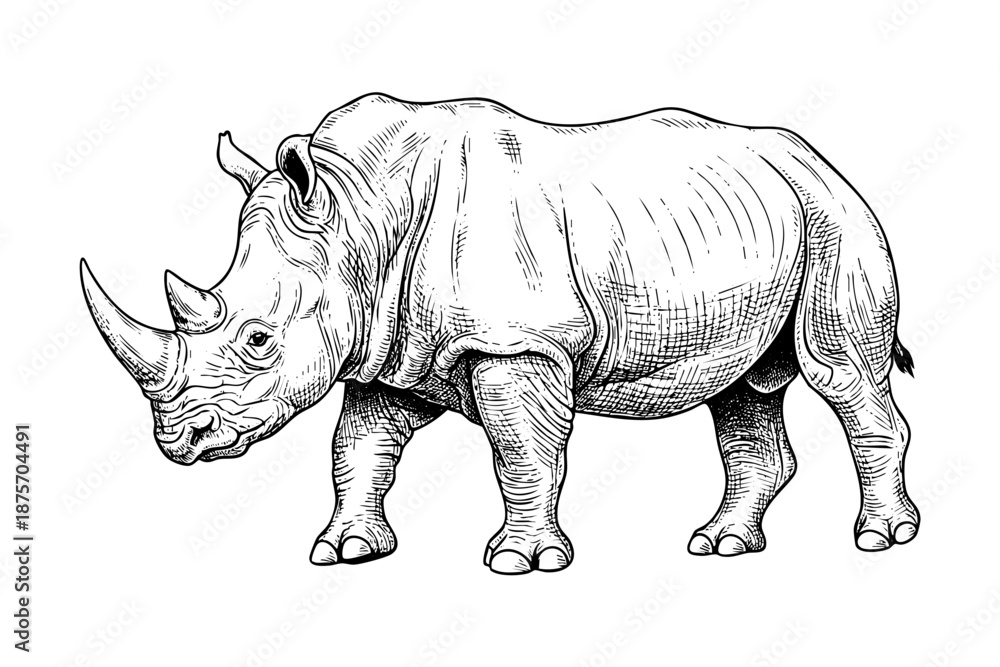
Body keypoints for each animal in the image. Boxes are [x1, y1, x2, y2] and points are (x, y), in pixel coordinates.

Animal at [81, 94, 918, 574]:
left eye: (257, 338)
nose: (177, 441)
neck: (360, 217)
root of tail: (820, 159)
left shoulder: (519, 341)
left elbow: (522, 450)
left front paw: (520, 561)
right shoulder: (391, 349)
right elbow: (357, 449)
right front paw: (345, 550)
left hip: (835, 217)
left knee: (842, 373)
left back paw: (879, 539)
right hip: (775, 219)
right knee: (744, 391)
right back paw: (720, 547)